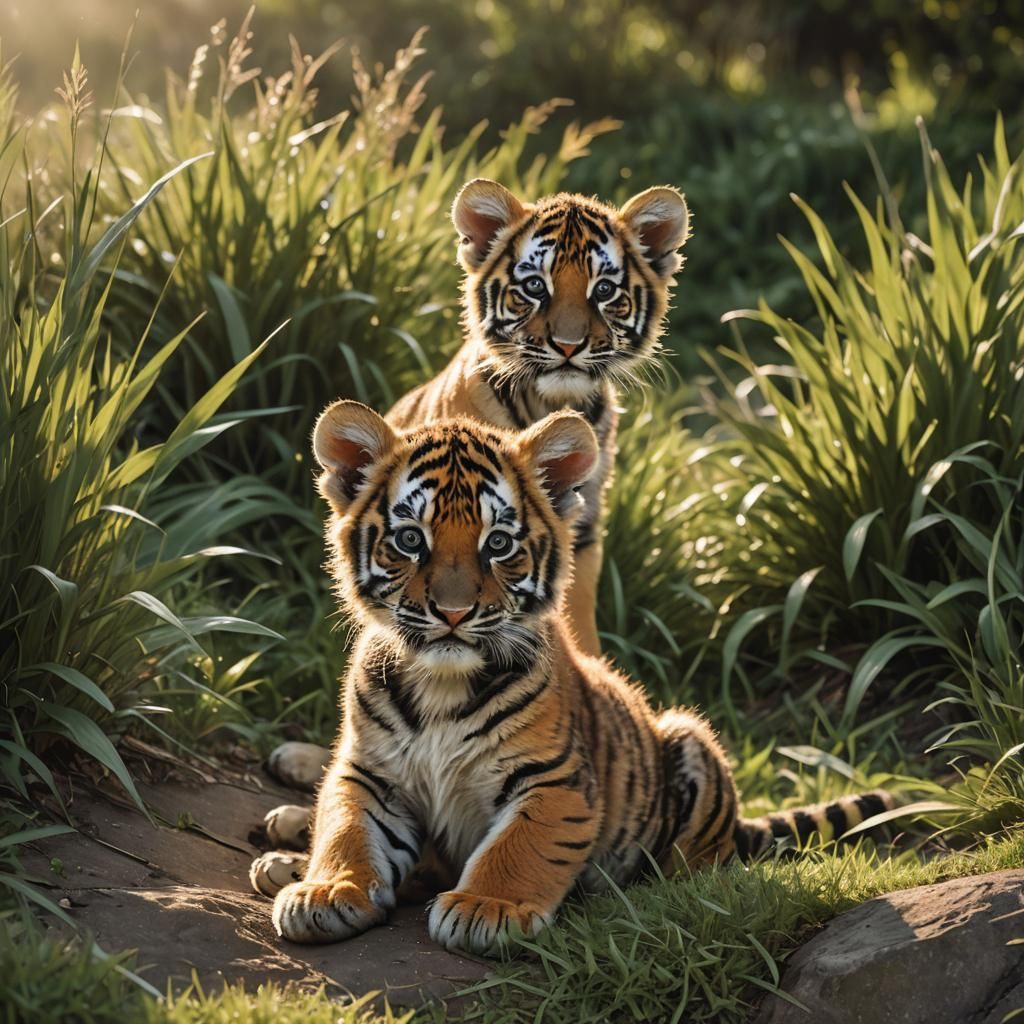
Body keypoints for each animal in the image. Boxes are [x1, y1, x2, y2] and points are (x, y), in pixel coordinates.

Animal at [249, 400, 897, 954]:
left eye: (498, 544)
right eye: (410, 539)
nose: (453, 613)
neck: (441, 682)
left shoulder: (555, 782)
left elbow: (518, 846)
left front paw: (486, 908)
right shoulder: (368, 773)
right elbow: (345, 828)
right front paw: (326, 889)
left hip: (690, 742)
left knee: (693, 867)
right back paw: (287, 852)